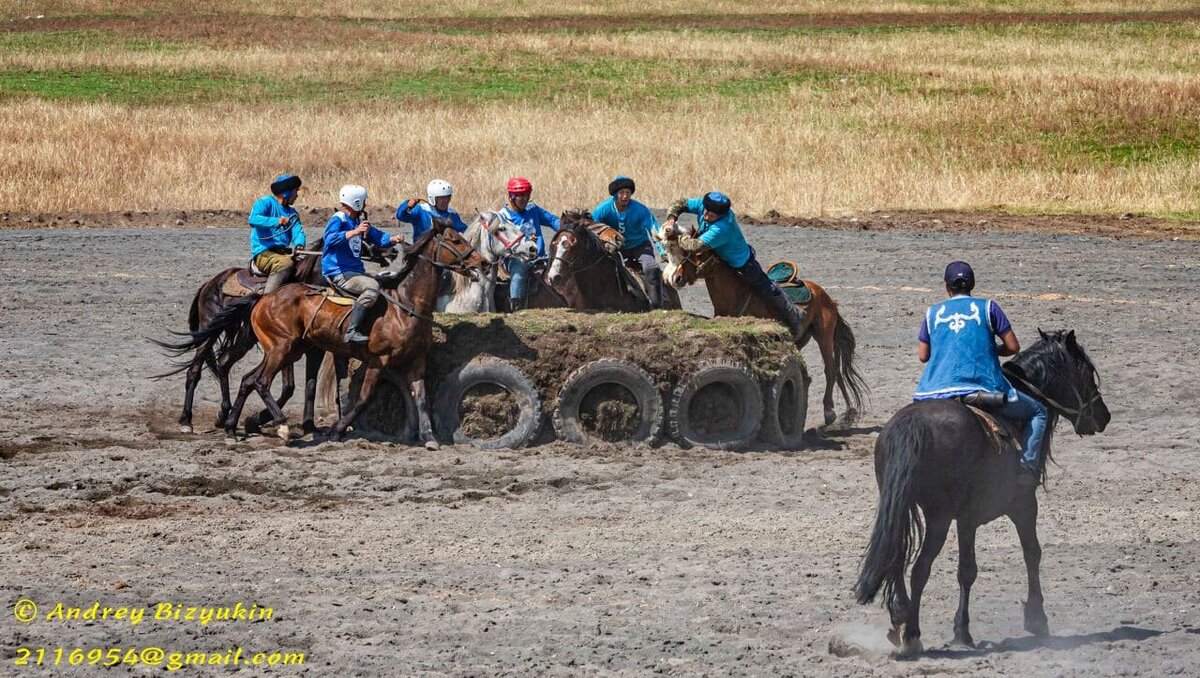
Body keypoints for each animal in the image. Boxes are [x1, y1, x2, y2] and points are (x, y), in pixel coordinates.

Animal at [657, 232, 864, 422]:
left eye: (700, 254)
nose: (676, 278)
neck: (737, 297)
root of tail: (824, 294)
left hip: (824, 336)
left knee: (831, 370)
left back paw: (829, 411)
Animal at [854, 331, 1113, 652]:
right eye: (1087, 372)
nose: (1104, 416)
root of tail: (912, 425)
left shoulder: (967, 519)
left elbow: (966, 570)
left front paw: (962, 629)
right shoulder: (1022, 504)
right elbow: (1030, 553)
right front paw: (1035, 619)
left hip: (902, 507)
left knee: (895, 558)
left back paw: (899, 621)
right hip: (939, 518)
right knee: (920, 569)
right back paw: (912, 634)